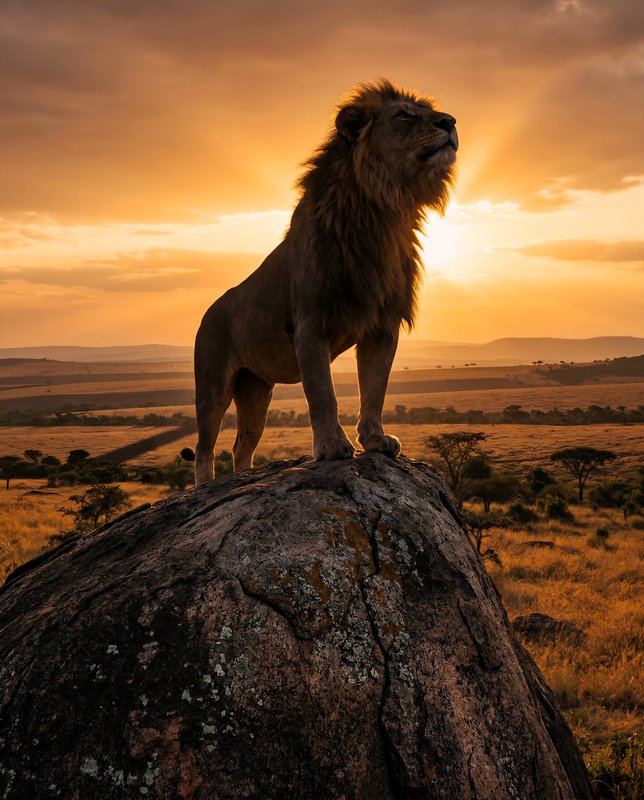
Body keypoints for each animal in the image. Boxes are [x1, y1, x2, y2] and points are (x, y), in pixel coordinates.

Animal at [182, 79, 457, 484]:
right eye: (404, 115)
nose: (450, 121)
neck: (384, 209)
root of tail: (208, 311)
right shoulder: (310, 324)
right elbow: (323, 394)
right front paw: (331, 448)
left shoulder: (382, 327)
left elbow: (374, 390)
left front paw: (375, 441)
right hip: (213, 384)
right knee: (205, 447)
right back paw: (206, 487)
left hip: (256, 391)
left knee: (241, 445)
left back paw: (243, 478)